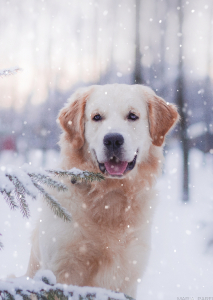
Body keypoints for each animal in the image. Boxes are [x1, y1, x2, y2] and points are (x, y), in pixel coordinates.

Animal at [25, 84, 179, 298]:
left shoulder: (127, 276)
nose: (113, 139)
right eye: (97, 117)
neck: (109, 196)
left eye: (132, 116)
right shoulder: (58, 271)